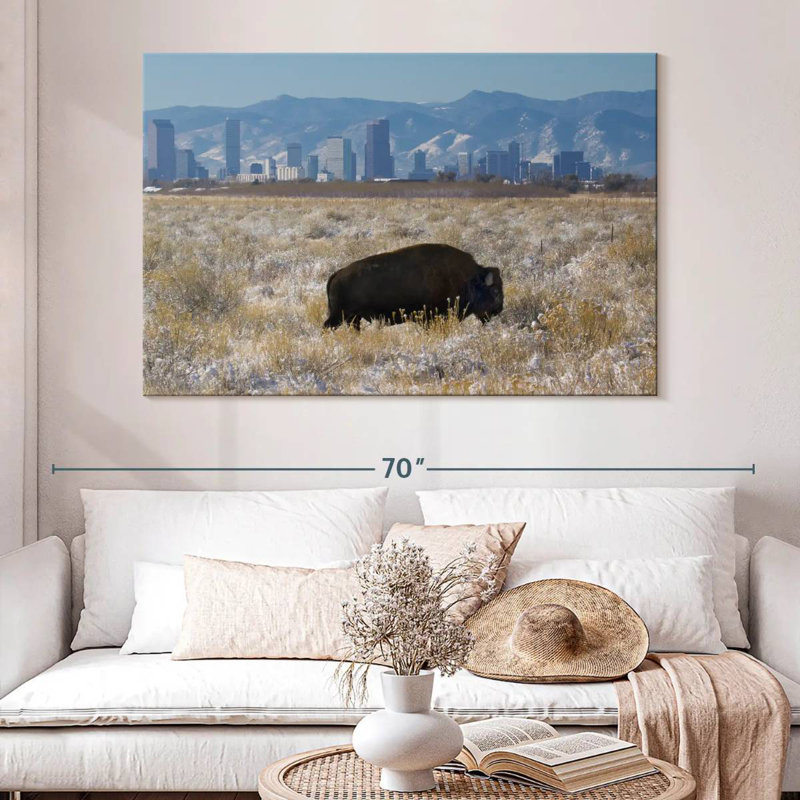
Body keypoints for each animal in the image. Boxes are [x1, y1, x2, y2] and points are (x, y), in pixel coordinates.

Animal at [323, 243, 503, 330]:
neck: (468, 280)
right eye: (495, 290)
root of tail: (337, 274)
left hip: (353, 318)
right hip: (339, 315)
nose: (498, 310)